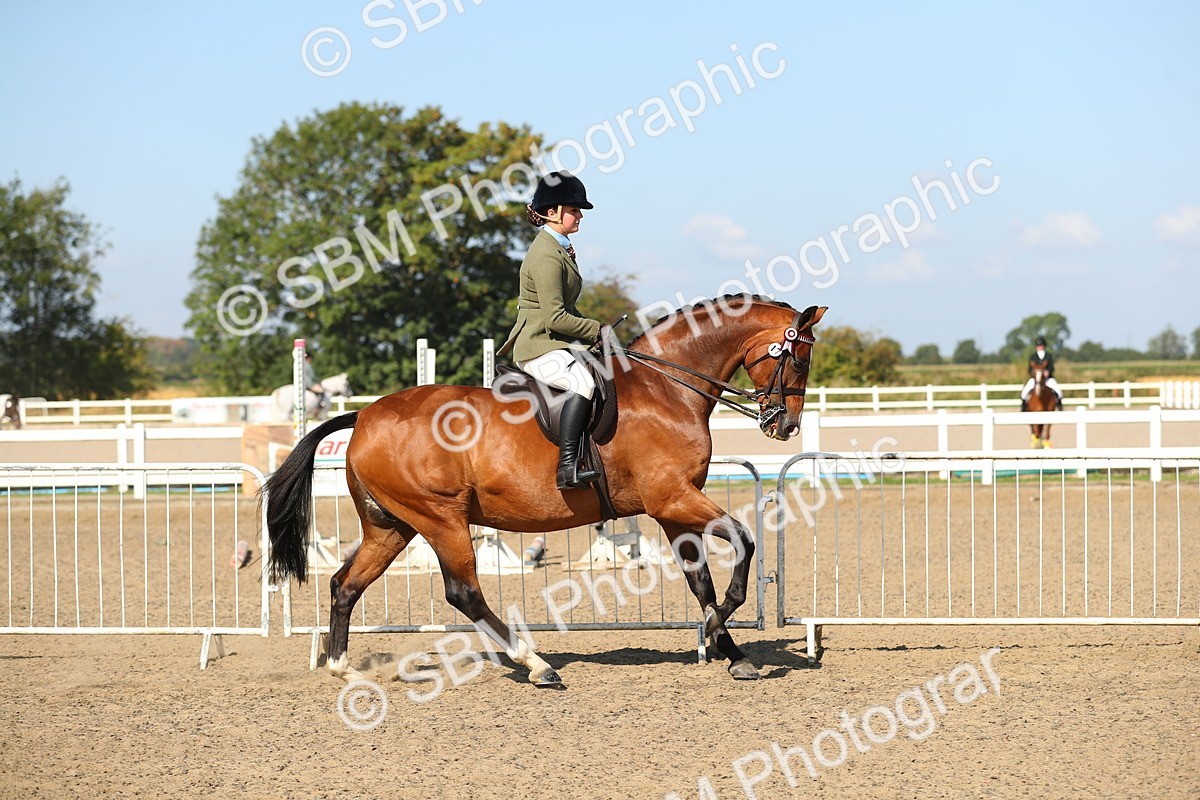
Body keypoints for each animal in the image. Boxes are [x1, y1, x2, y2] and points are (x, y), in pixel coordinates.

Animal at [266, 295, 826, 686]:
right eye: (798, 361)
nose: (786, 426)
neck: (666, 388)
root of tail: (363, 416)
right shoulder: (673, 498)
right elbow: (744, 541)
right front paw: (720, 626)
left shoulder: (672, 510)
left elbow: (701, 583)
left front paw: (731, 653)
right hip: (441, 519)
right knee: (463, 592)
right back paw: (535, 664)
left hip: (392, 526)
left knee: (346, 585)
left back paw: (342, 668)